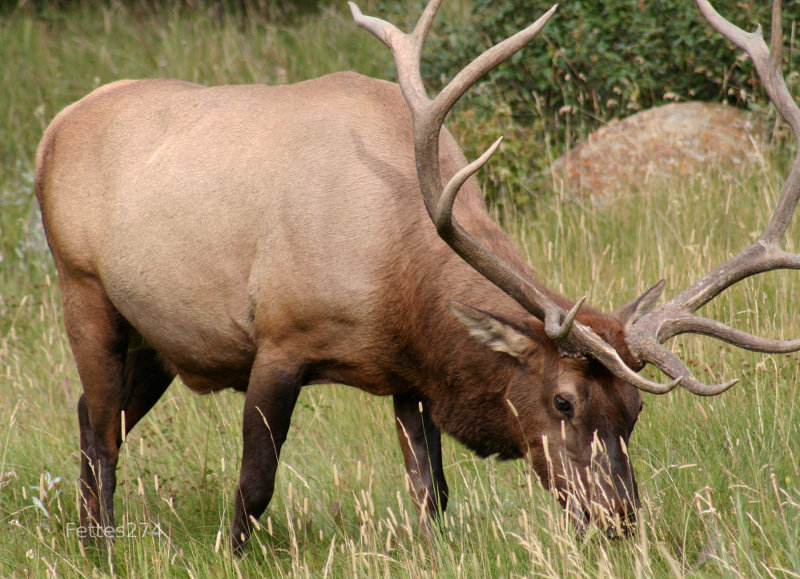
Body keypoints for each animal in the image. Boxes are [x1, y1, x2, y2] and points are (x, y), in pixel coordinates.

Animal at [36, 0, 800, 556]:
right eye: (563, 400)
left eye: (635, 409)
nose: (618, 518)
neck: (395, 279)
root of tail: (53, 129)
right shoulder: (280, 339)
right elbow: (253, 485)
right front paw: (232, 555)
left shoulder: (410, 373)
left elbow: (431, 493)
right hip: (84, 289)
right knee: (102, 431)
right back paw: (102, 549)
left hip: (159, 337)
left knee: (87, 413)